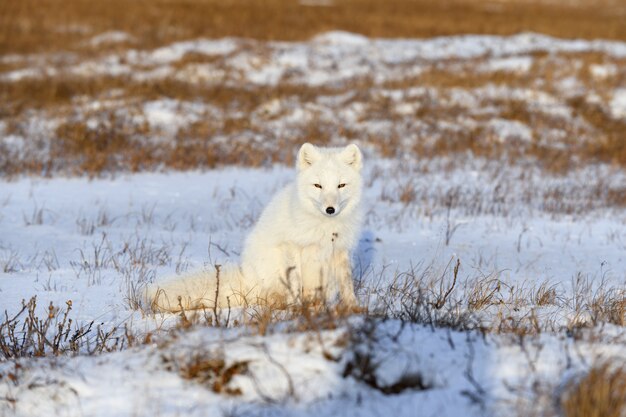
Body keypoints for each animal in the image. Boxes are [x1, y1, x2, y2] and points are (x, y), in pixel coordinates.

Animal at [146, 142, 360, 308]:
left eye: (341, 185)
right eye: (318, 186)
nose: (330, 209)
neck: (324, 228)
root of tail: (246, 279)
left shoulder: (341, 250)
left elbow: (347, 283)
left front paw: (353, 308)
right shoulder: (291, 246)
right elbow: (295, 283)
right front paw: (297, 310)